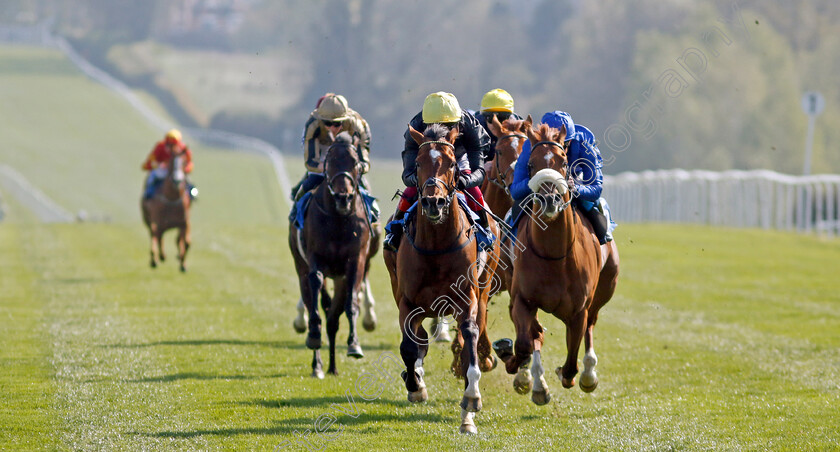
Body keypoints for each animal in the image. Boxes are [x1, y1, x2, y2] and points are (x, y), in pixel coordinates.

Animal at [288, 132, 380, 378]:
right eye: (329, 163)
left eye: (355, 163)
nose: (343, 197)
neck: (338, 219)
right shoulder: (315, 258)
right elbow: (315, 289)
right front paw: (312, 334)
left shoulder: (355, 261)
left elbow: (351, 303)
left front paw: (354, 344)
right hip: (300, 265)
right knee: (313, 301)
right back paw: (318, 364)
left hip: (340, 278)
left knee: (333, 320)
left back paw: (332, 366)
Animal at [384, 123, 502, 434]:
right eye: (417, 163)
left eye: (451, 163)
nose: (433, 202)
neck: (437, 243)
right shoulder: (407, 300)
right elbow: (409, 346)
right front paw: (415, 386)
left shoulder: (467, 297)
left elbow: (470, 335)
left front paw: (471, 401)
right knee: (420, 340)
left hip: (485, 284)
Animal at [492, 121, 624, 406]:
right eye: (531, 164)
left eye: (563, 162)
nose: (550, 199)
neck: (553, 256)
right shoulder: (522, 299)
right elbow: (524, 343)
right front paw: (513, 362)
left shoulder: (578, 311)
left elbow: (571, 363)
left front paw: (571, 374)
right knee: (533, 334)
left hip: (605, 288)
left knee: (591, 325)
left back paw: (588, 374)